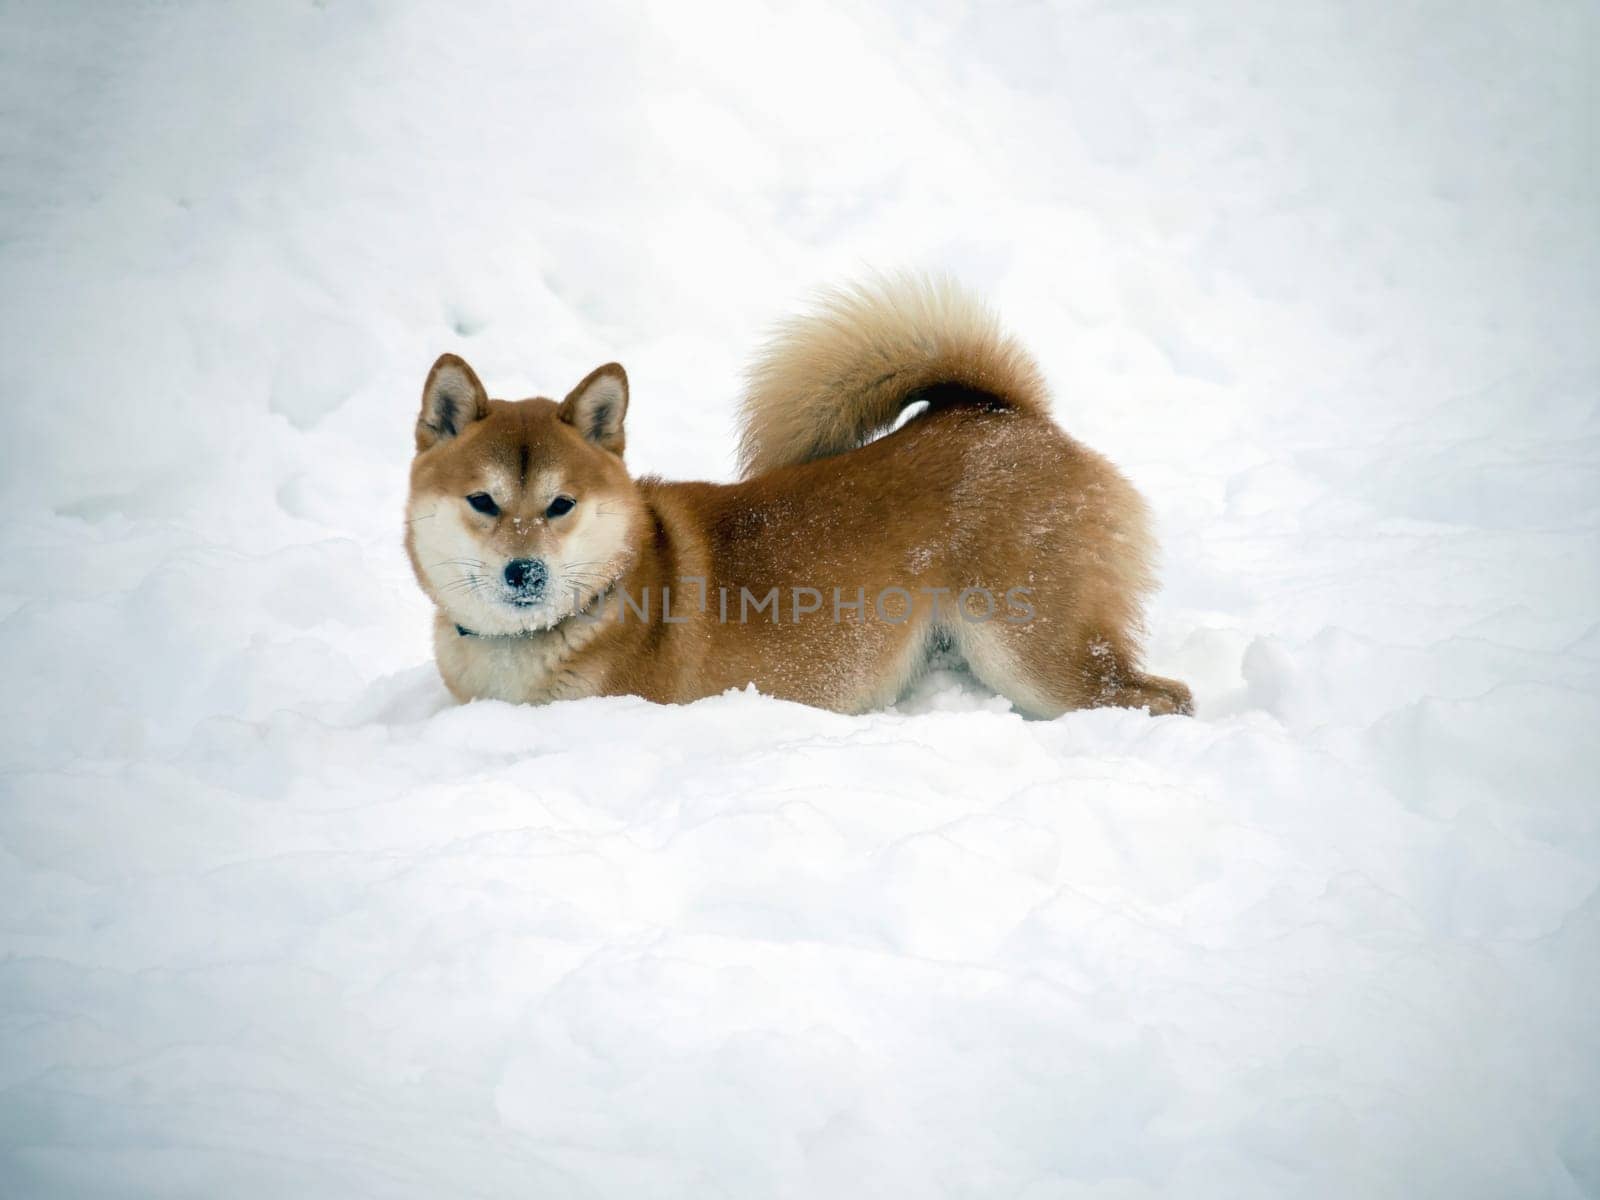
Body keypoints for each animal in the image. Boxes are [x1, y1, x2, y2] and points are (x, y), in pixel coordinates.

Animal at [406, 276, 1196, 720]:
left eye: (561, 505)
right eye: (483, 501)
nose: (525, 572)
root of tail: (1003, 413)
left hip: (1032, 655)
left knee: (1164, 698)